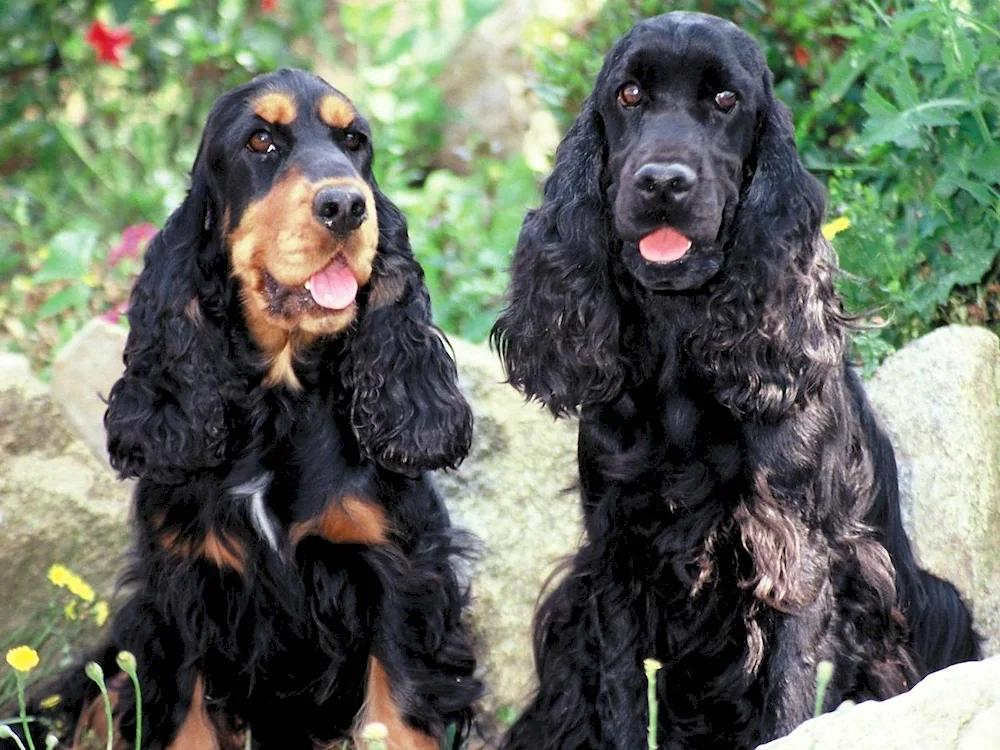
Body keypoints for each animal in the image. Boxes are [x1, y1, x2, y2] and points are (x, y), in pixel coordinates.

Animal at [9, 69, 480, 750]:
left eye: (354, 141)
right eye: (260, 141)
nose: (346, 206)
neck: (279, 402)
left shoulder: (401, 574)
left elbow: (398, 713)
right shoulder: (185, 590)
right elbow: (187, 719)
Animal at [492, 13, 976, 750]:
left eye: (725, 101)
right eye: (629, 94)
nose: (663, 182)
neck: (679, 344)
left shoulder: (793, 553)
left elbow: (790, 696)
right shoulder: (617, 556)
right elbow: (624, 697)